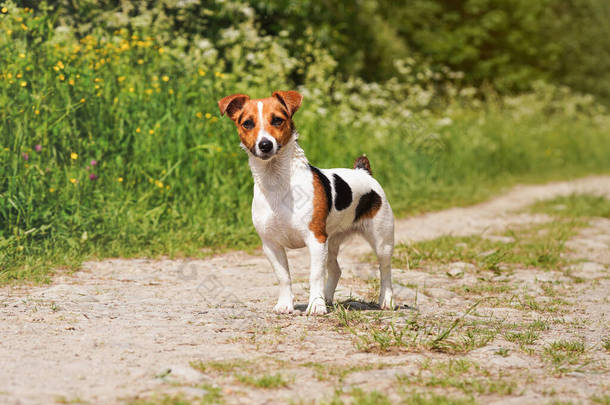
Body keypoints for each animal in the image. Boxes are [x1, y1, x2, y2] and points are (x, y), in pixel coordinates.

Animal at [218, 90, 394, 314]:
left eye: (277, 120)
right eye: (247, 123)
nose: (265, 144)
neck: (276, 182)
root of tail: (363, 172)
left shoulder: (316, 239)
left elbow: (315, 275)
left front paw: (316, 305)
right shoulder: (271, 245)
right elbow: (284, 277)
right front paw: (285, 304)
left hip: (381, 241)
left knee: (385, 269)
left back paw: (386, 300)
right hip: (332, 241)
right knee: (336, 270)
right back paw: (328, 298)